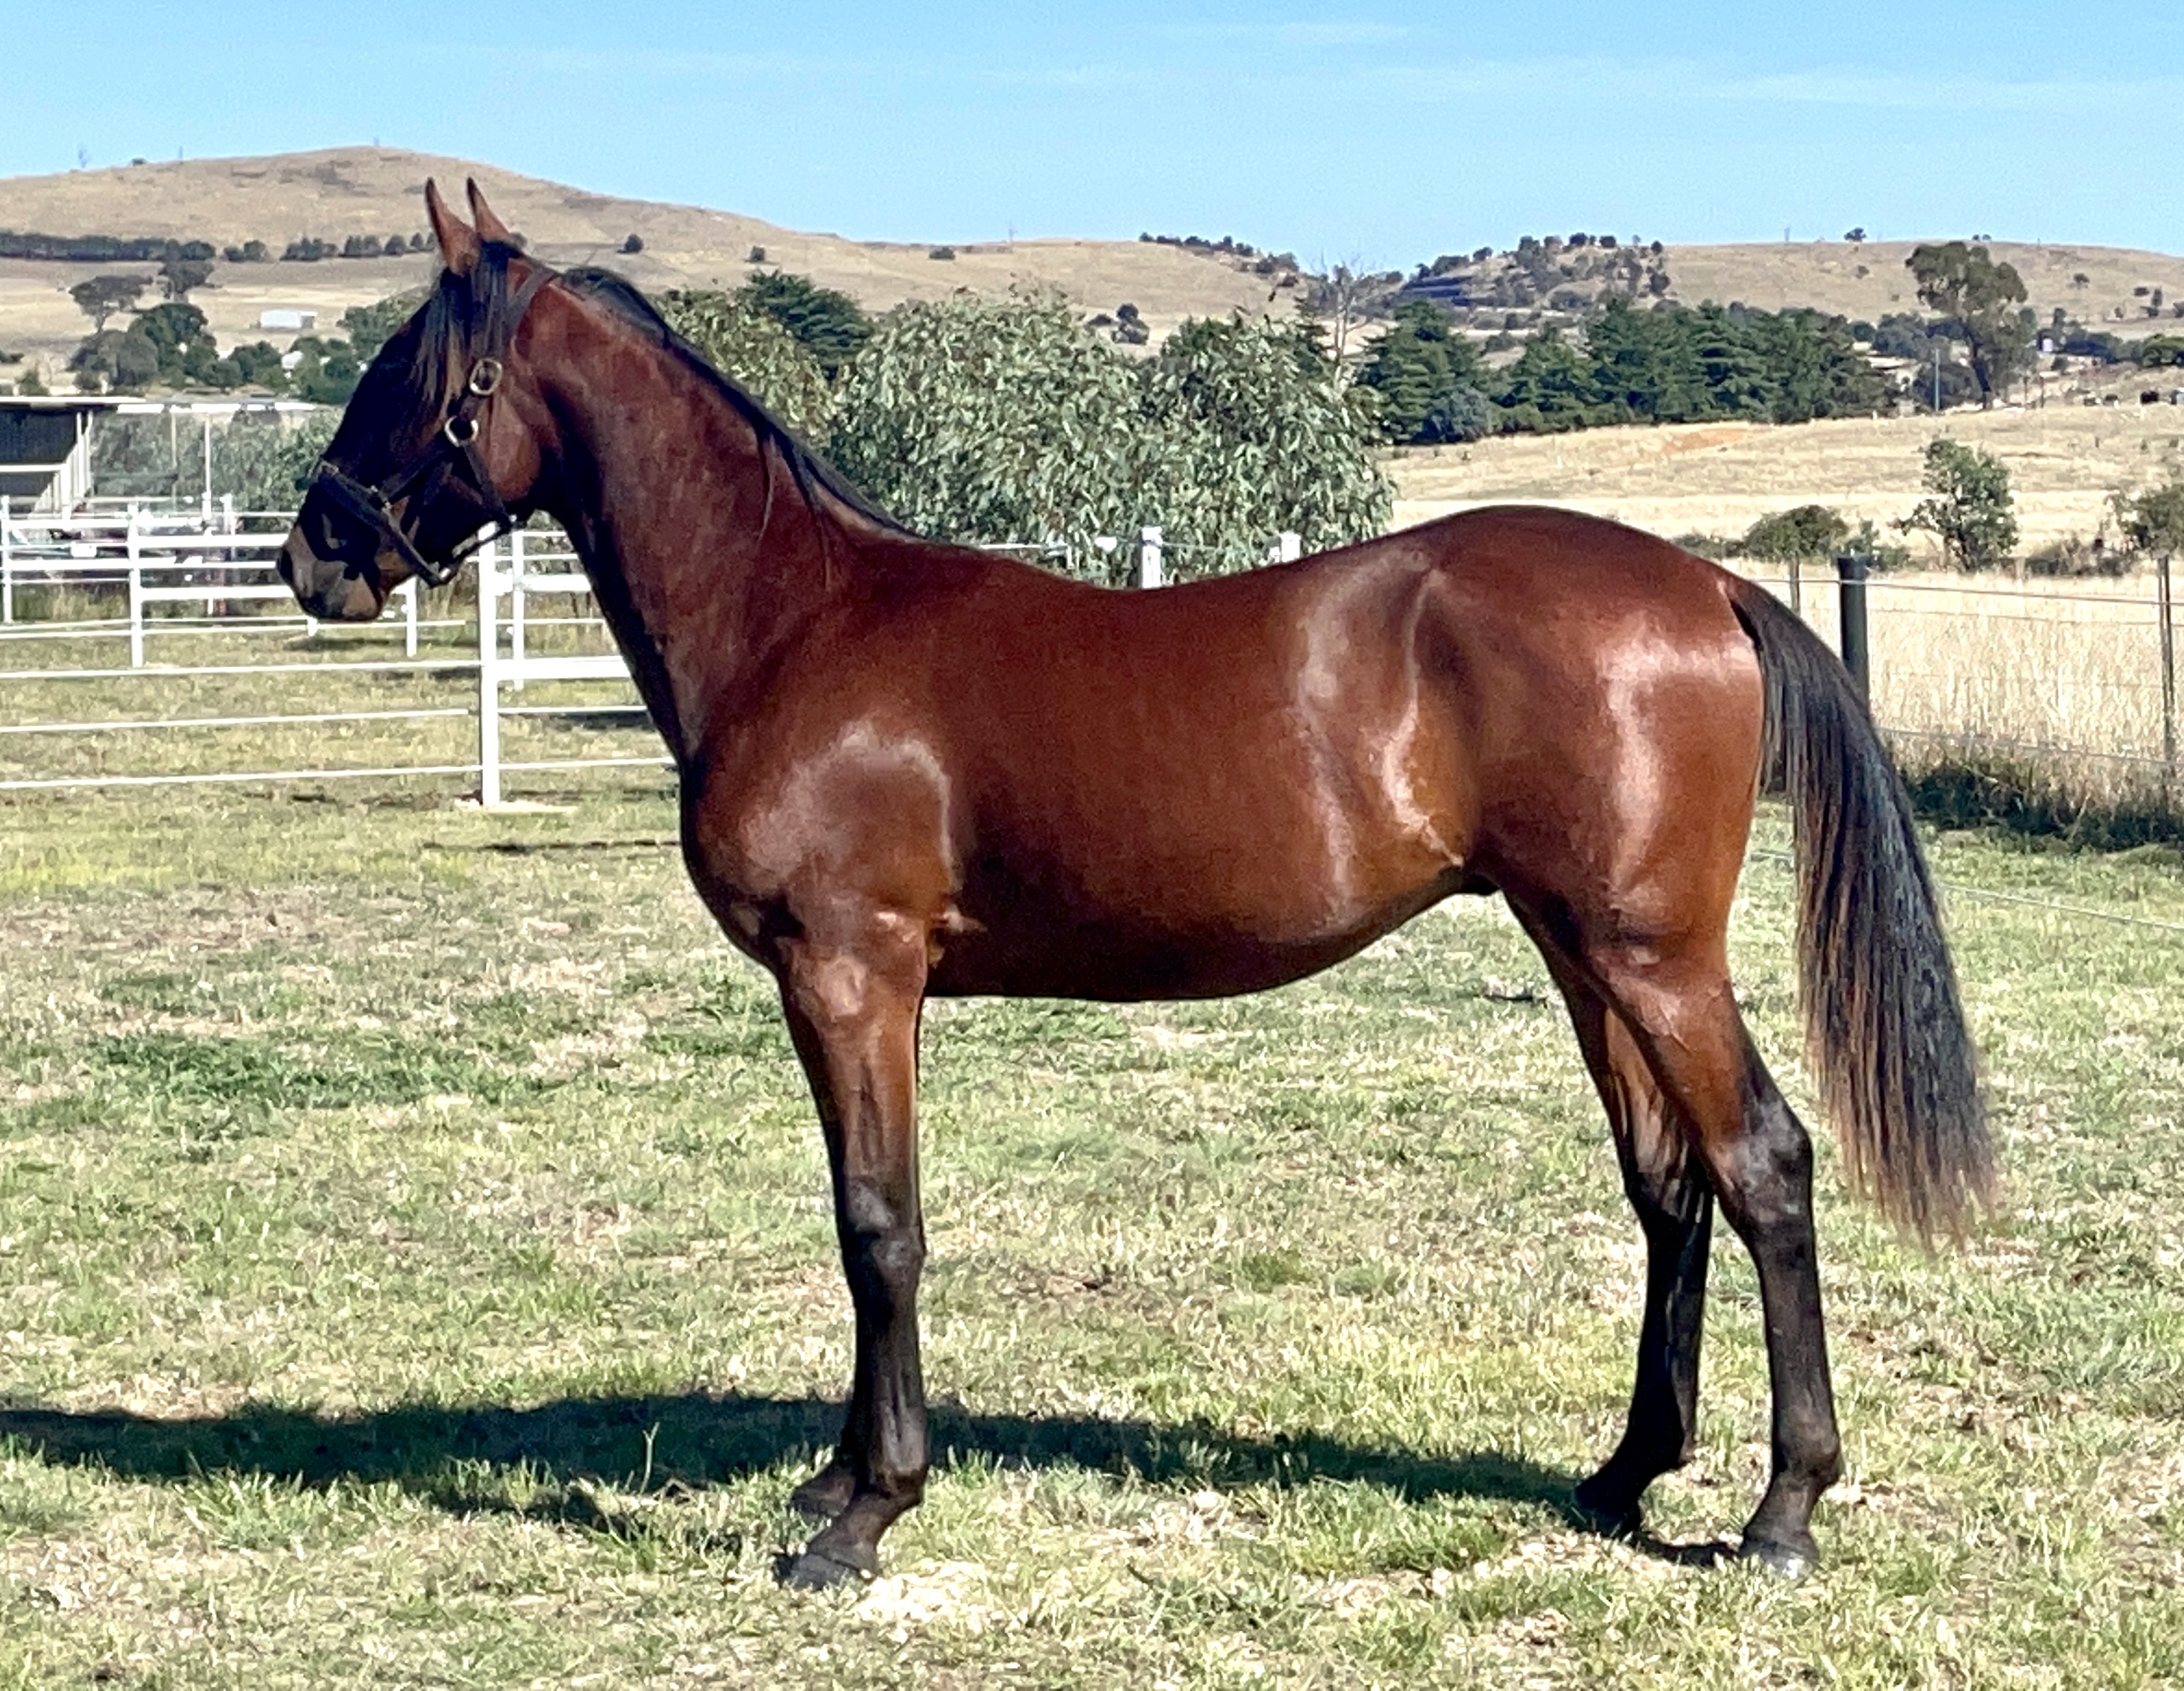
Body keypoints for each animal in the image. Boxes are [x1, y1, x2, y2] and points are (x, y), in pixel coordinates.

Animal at [278, 182, 1990, 1590]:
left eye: (408, 376)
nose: (312, 556)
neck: (798, 621)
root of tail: (1705, 584)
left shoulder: (850, 975)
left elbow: (877, 1224)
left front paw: (864, 1513)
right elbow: (865, 1220)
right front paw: (834, 1477)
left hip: (1652, 957)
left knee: (1763, 1165)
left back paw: (1781, 1511)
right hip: (1582, 953)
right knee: (1666, 1182)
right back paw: (1626, 1472)